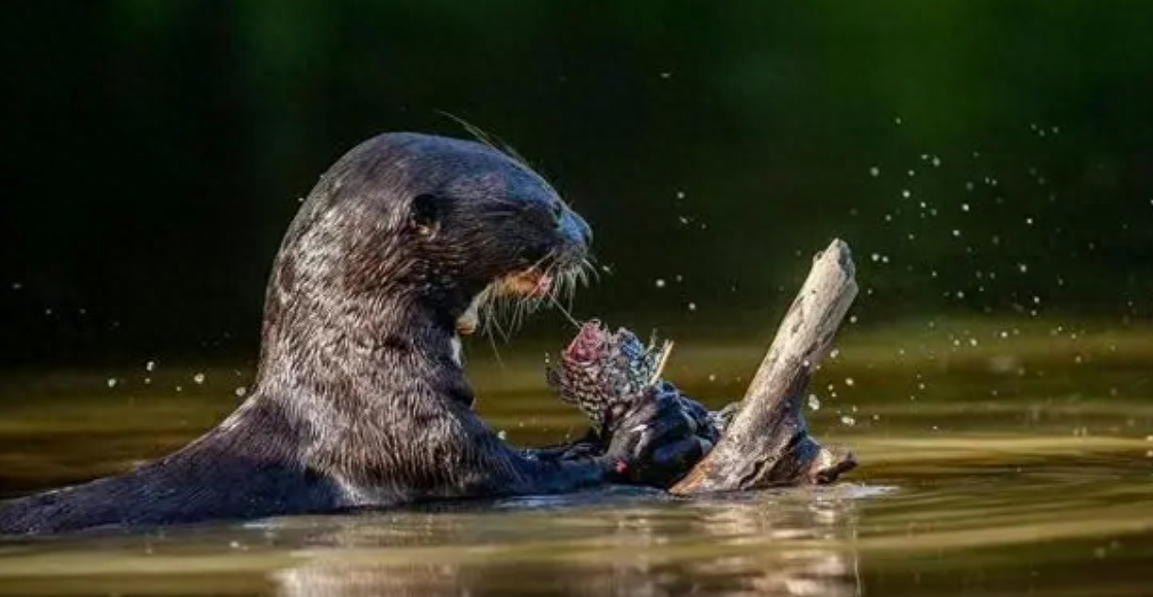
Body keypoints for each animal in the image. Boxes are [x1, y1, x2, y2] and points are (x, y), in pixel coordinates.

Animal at [0, 133, 705, 537]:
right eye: (551, 205)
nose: (586, 231)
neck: (359, 377)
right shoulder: (413, 442)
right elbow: (522, 476)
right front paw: (651, 433)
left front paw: (686, 413)